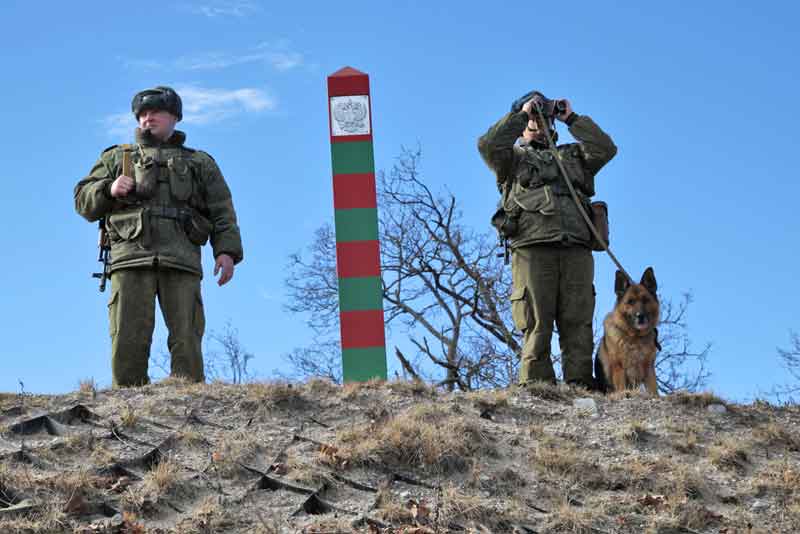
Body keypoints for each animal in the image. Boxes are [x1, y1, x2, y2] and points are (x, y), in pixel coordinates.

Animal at [596, 268, 660, 398]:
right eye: (630, 301)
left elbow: (654, 390)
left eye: (645, 300)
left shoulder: (649, 369)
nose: (640, 316)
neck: (635, 337)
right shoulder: (618, 368)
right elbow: (621, 387)